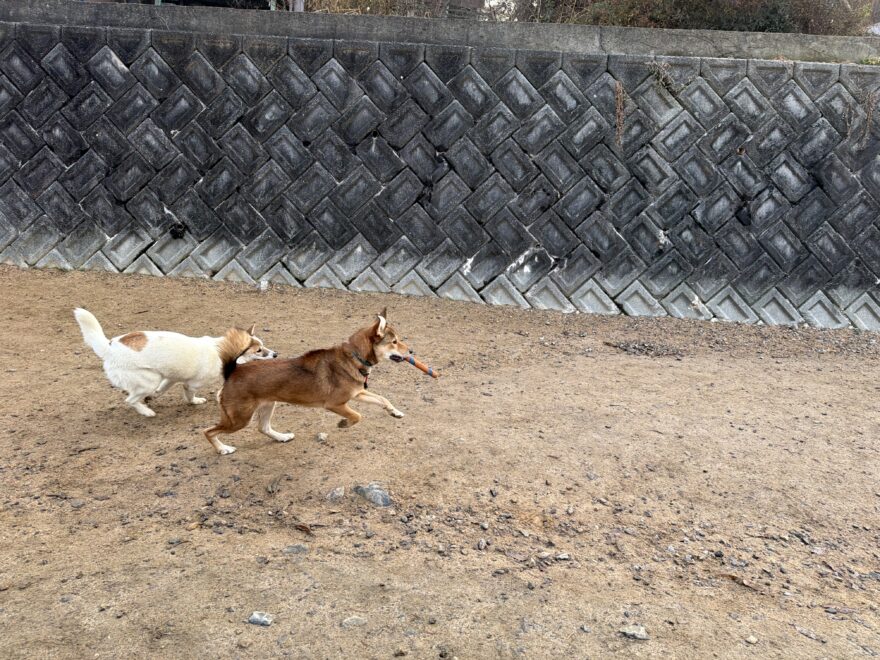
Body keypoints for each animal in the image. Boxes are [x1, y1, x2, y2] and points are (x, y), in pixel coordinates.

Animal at [74, 308, 277, 417]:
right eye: (259, 351)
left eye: (263, 345)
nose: (275, 354)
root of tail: (110, 347)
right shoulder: (191, 384)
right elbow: (189, 395)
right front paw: (195, 402)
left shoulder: (171, 377)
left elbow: (162, 389)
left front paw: (155, 396)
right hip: (149, 379)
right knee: (129, 400)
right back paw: (146, 411)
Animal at [204, 308, 408, 455]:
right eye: (394, 342)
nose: (411, 351)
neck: (354, 357)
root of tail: (233, 371)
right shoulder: (335, 404)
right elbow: (357, 416)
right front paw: (344, 424)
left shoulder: (357, 393)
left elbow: (382, 399)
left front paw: (395, 412)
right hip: (239, 419)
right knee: (208, 431)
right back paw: (223, 449)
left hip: (268, 405)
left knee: (263, 428)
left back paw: (281, 437)